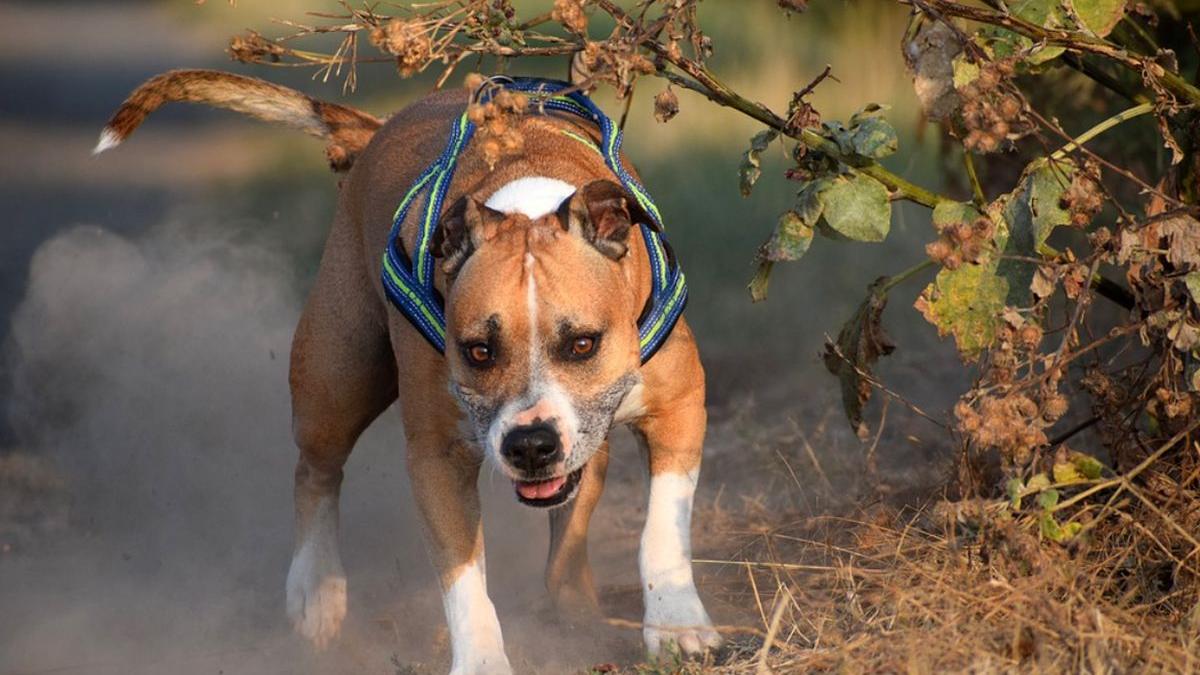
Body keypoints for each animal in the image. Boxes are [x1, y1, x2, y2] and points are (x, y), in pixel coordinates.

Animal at [98, 70, 715, 667]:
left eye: (584, 344)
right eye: (478, 351)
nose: (531, 445)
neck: (526, 199)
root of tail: (378, 129)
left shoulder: (680, 407)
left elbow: (662, 528)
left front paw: (677, 623)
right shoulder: (436, 458)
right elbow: (463, 579)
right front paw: (482, 660)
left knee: (572, 518)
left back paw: (575, 609)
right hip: (336, 380)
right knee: (316, 472)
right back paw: (317, 590)